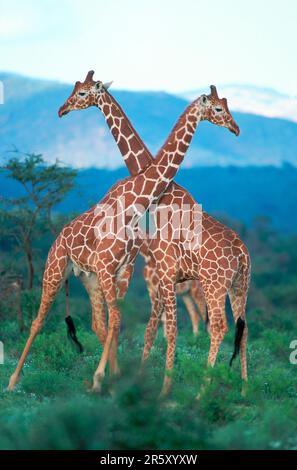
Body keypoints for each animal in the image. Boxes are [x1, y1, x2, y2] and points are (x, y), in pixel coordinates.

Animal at [6, 73, 238, 392]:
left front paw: (110, 378)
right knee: (40, 320)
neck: (136, 201)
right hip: (58, 269)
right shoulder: (112, 269)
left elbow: (120, 321)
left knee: (102, 322)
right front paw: (107, 378)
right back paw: (13, 381)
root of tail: (58, 239)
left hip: (92, 278)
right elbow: (124, 321)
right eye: (218, 108)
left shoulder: (123, 270)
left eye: (81, 92)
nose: (62, 110)